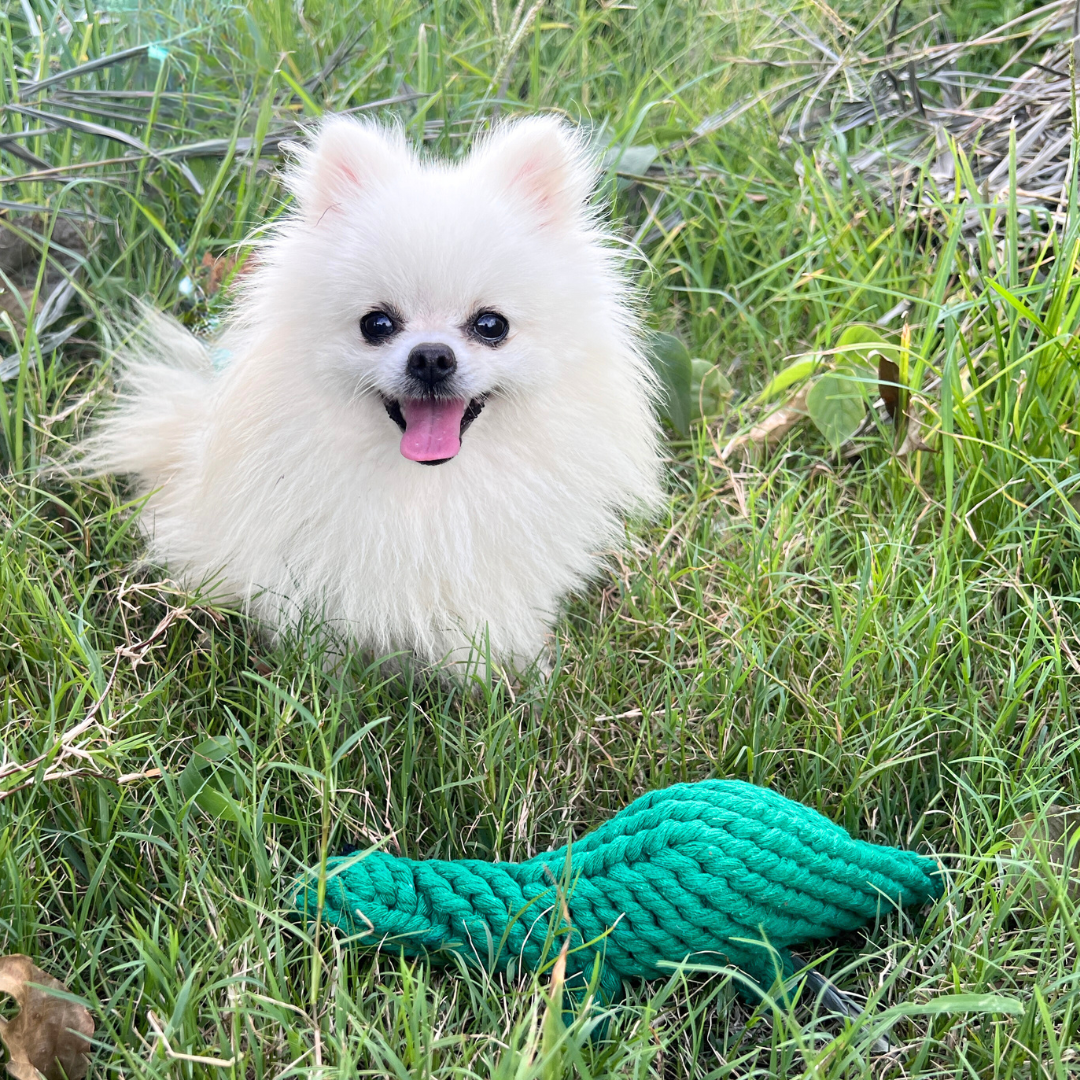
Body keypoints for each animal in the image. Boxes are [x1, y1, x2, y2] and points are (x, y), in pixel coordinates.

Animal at [79, 116, 660, 673]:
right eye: (376, 324)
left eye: (491, 325)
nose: (431, 357)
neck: (427, 490)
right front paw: (323, 675)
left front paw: (512, 674)